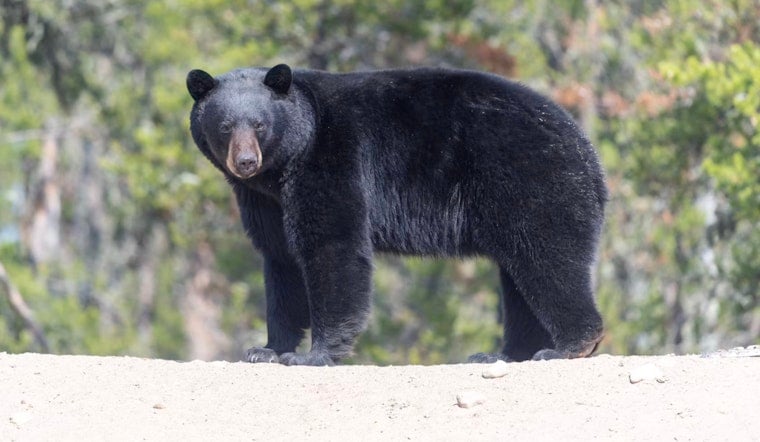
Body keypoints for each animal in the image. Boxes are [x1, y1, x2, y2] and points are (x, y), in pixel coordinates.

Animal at [186, 64, 607, 366]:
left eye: (260, 124)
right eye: (225, 125)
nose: (245, 162)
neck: (285, 163)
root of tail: (589, 154)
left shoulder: (332, 160)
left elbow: (332, 245)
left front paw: (312, 355)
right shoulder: (264, 201)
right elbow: (281, 260)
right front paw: (266, 349)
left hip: (530, 182)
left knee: (547, 259)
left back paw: (567, 346)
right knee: (519, 279)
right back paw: (503, 354)